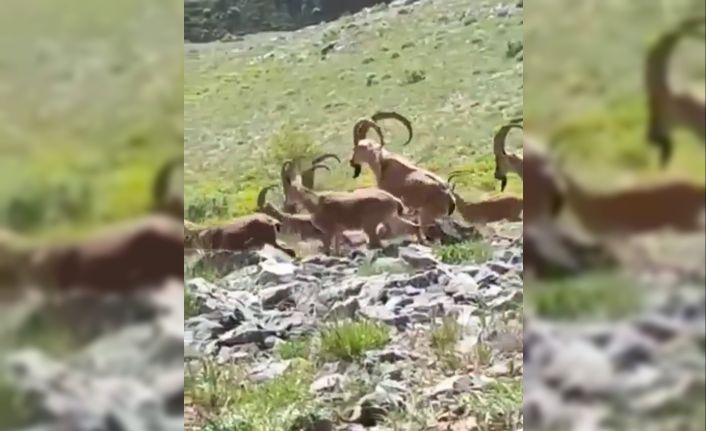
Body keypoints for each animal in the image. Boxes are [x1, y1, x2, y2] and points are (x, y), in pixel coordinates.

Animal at [284, 164, 420, 255]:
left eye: (290, 190)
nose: (287, 202)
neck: (316, 204)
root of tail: (394, 200)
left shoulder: (329, 231)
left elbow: (327, 248)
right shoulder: (338, 232)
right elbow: (337, 249)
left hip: (370, 223)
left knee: (377, 240)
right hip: (390, 218)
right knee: (411, 227)